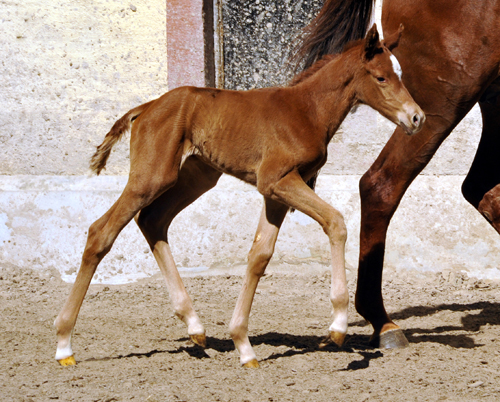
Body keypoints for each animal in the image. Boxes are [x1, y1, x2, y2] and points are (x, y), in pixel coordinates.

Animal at [53, 25, 422, 370]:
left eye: (401, 74)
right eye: (381, 77)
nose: (417, 117)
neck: (307, 110)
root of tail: (145, 108)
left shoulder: (276, 191)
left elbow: (260, 255)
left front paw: (243, 346)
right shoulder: (277, 180)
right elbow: (336, 222)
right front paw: (338, 327)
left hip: (197, 176)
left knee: (153, 221)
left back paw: (195, 326)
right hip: (151, 178)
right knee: (101, 231)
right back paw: (64, 344)